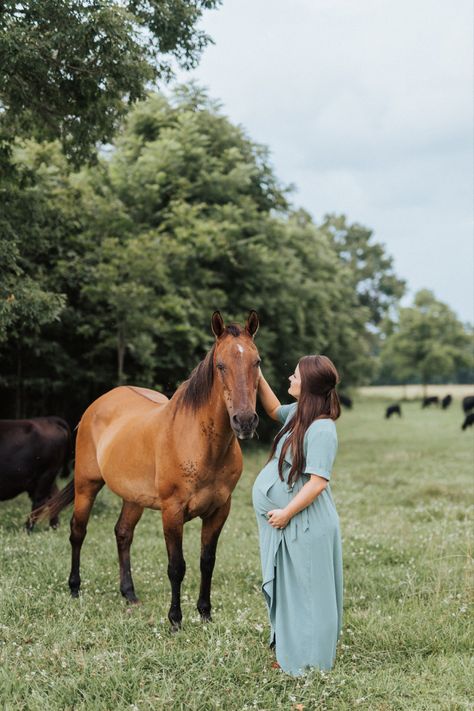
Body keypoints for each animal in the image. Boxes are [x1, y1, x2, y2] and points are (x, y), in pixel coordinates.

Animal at [45, 312, 260, 628]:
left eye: (256, 362)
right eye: (221, 365)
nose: (244, 421)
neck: (200, 443)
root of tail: (99, 403)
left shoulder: (219, 511)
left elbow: (207, 562)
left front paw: (205, 614)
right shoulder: (172, 511)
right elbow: (177, 566)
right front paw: (175, 620)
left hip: (134, 498)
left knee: (123, 533)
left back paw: (129, 594)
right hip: (86, 486)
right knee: (77, 532)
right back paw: (74, 588)